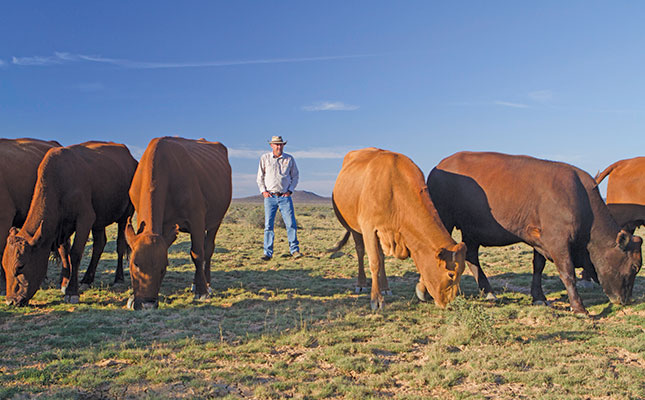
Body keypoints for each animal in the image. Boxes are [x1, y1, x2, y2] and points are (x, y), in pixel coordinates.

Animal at [123, 137, 231, 310]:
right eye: (136, 264)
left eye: (163, 268)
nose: (147, 304)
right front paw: (132, 296)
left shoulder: (197, 219)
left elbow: (197, 254)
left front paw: (202, 291)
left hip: (216, 220)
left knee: (207, 250)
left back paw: (206, 283)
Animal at [332, 147, 462, 310]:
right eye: (451, 274)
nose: (449, 302)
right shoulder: (368, 228)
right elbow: (374, 262)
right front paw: (376, 299)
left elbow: (380, 259)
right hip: (355, 228)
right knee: (360, 251)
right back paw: (361, 283)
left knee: (381, 255)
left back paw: (385, 287)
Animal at [426, 152, 640, 314]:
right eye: (635, 266)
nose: (626, 300)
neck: (581, 198)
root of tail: (438, 166)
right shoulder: (558, 241)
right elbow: (567, 272)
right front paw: (579, 308)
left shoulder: (541, 241)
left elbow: (538, 266)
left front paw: (538, 297)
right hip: (445, 220)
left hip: (471, 231)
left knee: (471, 256)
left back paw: (488, 292)